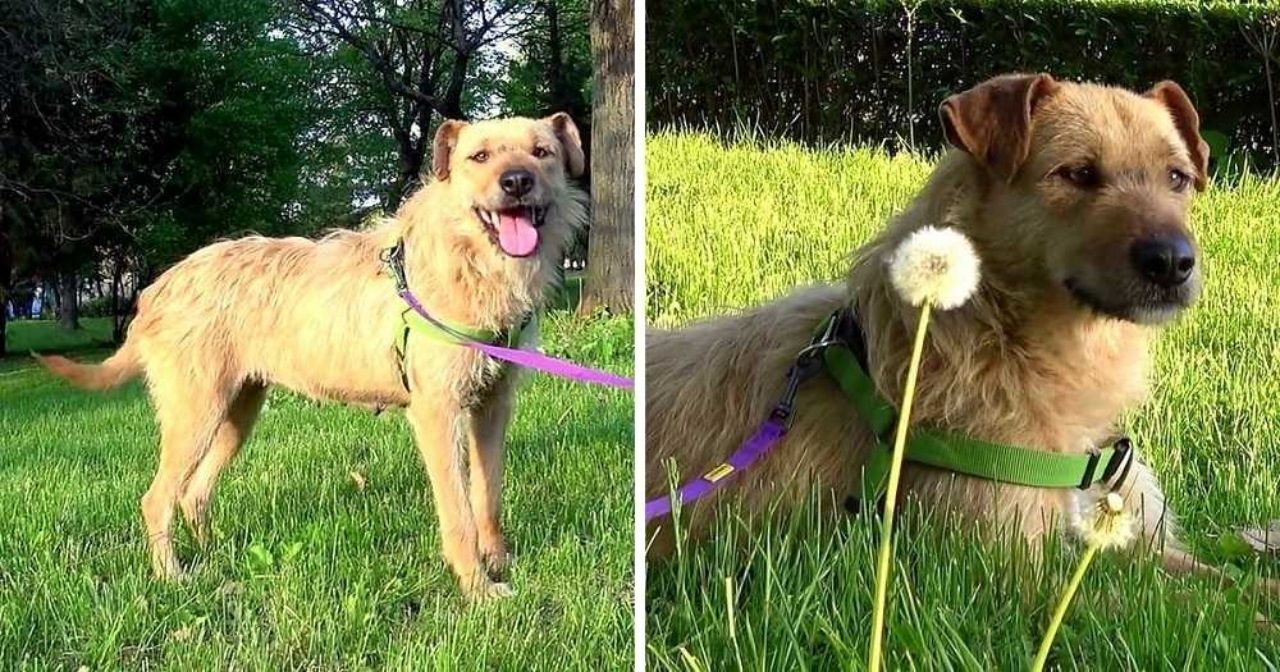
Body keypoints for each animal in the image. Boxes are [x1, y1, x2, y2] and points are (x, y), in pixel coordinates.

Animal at [35, 112, 586, 599]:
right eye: (480, 156)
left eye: (542, 153)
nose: (517, 182)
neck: (470, 263)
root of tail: (156, 288)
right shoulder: (437, 413)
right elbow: (459, 514)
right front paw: (478, 588)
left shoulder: (492, 407)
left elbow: (488, 496)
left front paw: (501, 559)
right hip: (195, 414)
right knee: (157, 499)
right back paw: (174, 576)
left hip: (237, 414)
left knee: (193, 494)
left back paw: (216, 555)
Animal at [645, 74, 1274, 591]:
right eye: (1076, 173)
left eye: (1178, 177)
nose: (1173, 262)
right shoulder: (1007, 574)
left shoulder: (1135, 545)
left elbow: (1229, 587)